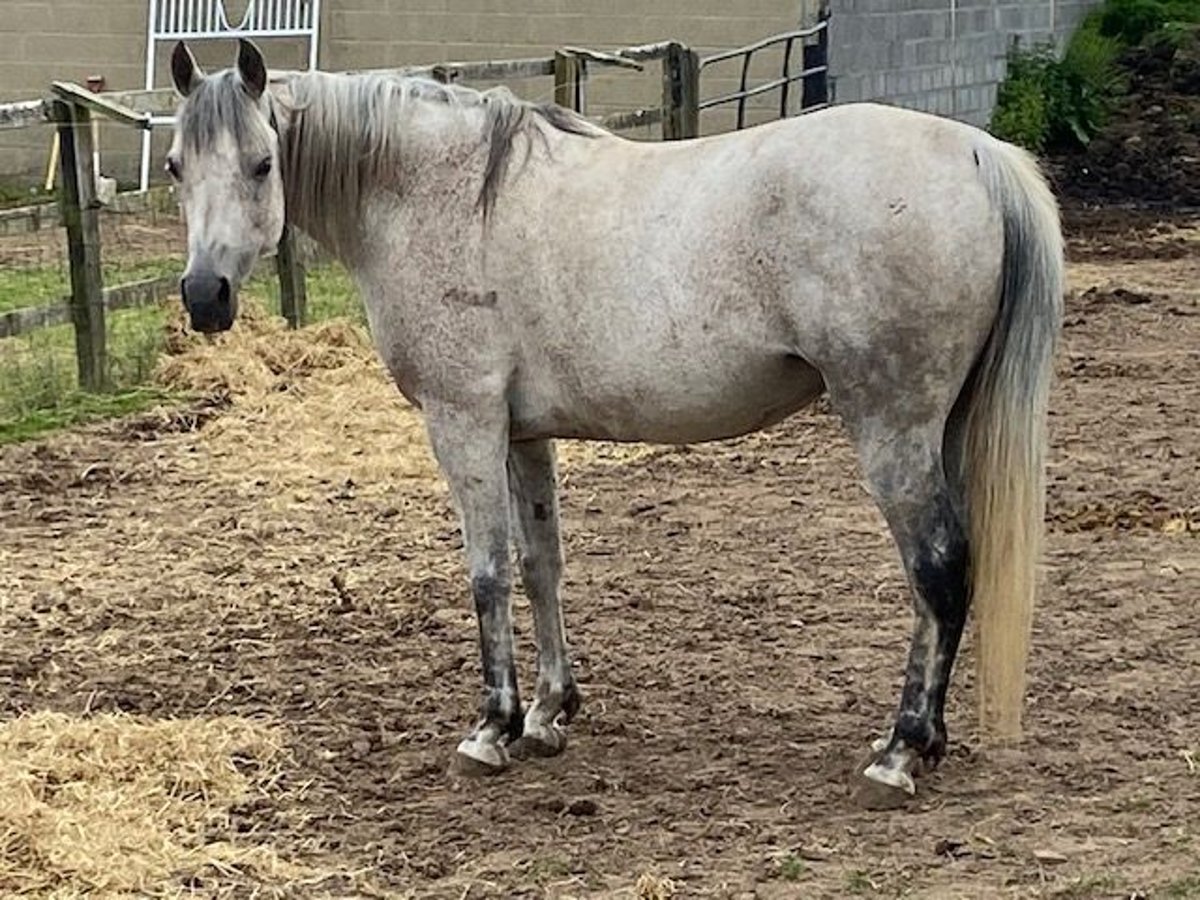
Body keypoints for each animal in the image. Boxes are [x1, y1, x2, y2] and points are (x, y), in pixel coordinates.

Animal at [166, 40, 1060, 801]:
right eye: (176, 166)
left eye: (262, 163)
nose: (204, 296)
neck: (440, 193)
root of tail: (977, 156)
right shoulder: (523, 436)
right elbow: (541, 566)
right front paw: (548, 713)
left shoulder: (464, 424)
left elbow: (488, 574)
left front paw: (490, 727)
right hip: (941, 431)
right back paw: (922, 740)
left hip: (892, 432)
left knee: (939, 570)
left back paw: (900, 751)